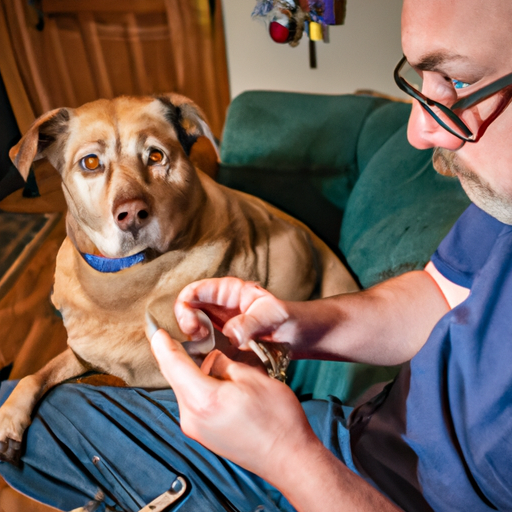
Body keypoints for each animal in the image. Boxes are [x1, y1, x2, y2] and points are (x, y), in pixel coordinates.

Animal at [0, 93, 360, 464]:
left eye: (156, 156)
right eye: (90, 163)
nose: (132, 214)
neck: (125, 277)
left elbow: (105, 386)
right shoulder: (83, 352)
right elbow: (36, 374)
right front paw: (10, 417)